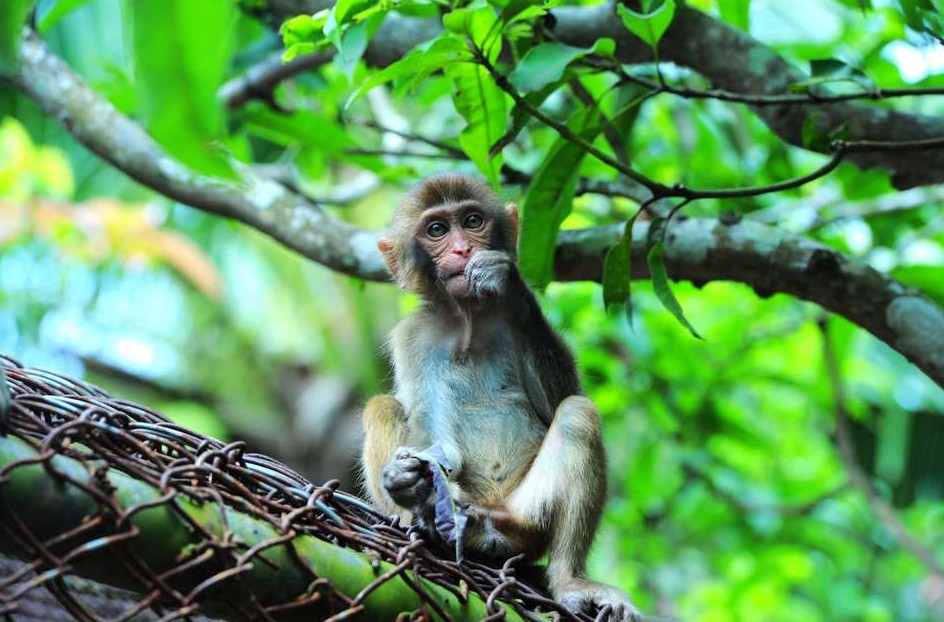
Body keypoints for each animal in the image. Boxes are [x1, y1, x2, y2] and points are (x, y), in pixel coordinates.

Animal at [361, 173, 639, 622]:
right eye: (436, 230)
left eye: (472, 221)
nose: (463, 249)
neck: (469, 319)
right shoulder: (414, 338)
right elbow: (439, 444)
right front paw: (408, 482)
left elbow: (563, 397)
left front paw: (505, 281)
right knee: (382, 405)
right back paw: (417, 516)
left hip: (524, 519)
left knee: (577, 414)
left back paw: (569, 581)